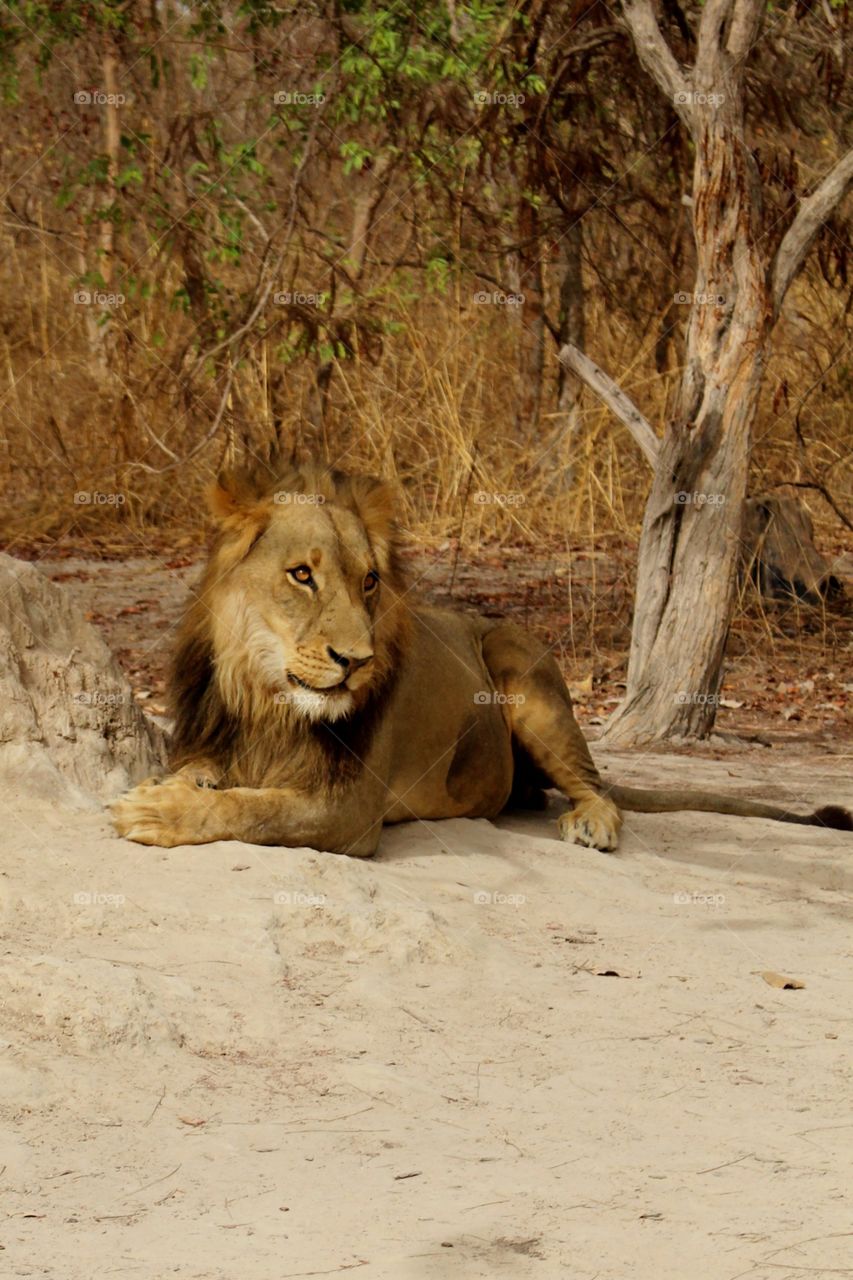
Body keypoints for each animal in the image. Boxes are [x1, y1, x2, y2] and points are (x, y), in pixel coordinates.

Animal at [112, 461, 852, 855]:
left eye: (369, 582)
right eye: (301, 575)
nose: (357, 660)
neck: (267, 698)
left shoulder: (349, 809)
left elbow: (254, 809)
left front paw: (155, 814)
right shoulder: (211, 738)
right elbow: (204, 777)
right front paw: (166, 791)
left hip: (524, 675)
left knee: (600, 785)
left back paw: (592, 822)